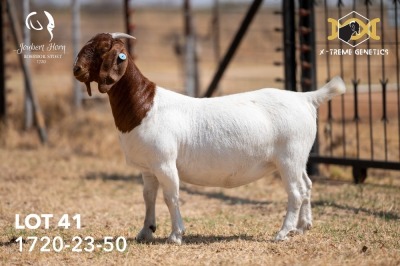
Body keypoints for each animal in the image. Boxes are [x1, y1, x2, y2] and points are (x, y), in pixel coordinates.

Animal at [72, 32, 346, 244]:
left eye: (101, 49)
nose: (76, 69)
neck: (144, 105)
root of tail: (306, 98)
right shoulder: (148, 167)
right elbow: (149, 197)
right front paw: (145, 232)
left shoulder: (165, 163)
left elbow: (171, 197)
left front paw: (176, 235)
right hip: (300, 157)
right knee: (307, 185)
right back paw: (302, 227)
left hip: (289, 157)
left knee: (296, 193)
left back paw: (283, 233)